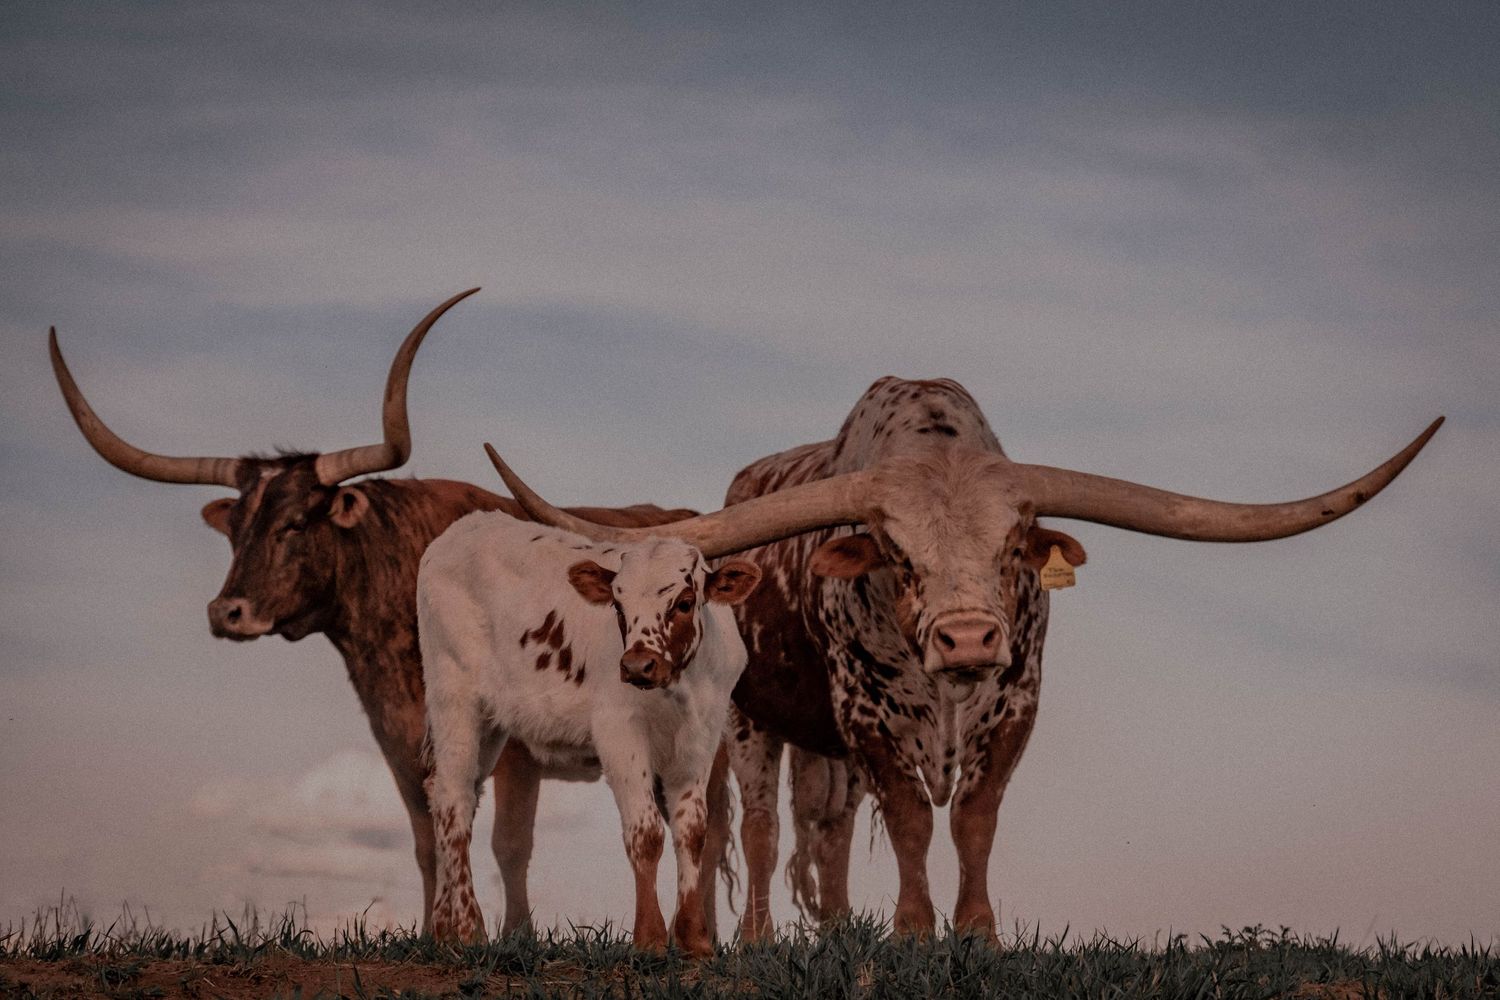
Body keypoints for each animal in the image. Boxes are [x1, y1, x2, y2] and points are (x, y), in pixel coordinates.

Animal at [47, 289, 729, 938]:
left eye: (298, 522)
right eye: (237, 526)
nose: (227, 611)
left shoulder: (516, 748)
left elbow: (510, 843)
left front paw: (517, 936)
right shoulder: (400, 743)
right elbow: (429, 839)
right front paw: (432, 929)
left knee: (715, 827)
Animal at [417, 445, 767, 954]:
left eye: (684, 601)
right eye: (618, 604)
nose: (638, 666)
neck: (678, 688)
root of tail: (456, 534)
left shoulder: (702, 737)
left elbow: (693, 831)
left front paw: (694, 940)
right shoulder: (619, 732)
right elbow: (645, 831)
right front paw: (649, 938)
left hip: (492, 720)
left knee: (448, 787)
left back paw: (443, 927)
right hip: (453, 696)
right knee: (453, 796)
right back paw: (467, 929)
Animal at [502, 376, 1442, 940]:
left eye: (1013, 546)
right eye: (894, 550)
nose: (967, 639)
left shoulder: (1015, 706)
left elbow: (976, 819)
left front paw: (978, 929)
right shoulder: (870, 717)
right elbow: (914, 822)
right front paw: (917, 930)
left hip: (826, 745)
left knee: (827, 829)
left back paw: (835, 931)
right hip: (749, 720)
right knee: (767, 831)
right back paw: (760, 938)